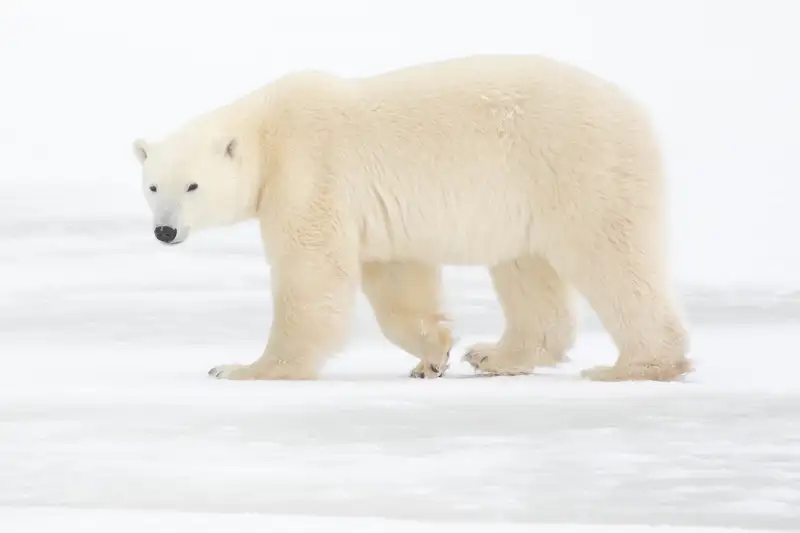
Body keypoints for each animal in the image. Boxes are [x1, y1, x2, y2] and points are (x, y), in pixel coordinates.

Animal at [131, 54, 688, 380]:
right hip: (525, 196)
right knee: (526, 269)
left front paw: (245, 369)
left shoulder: (309, 171)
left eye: (193, 185)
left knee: (612, 258)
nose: (165, 230)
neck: (268, 131)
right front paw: (433, 354)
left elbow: (311, 274)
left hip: (578, 168)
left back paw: (636, 365)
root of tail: (635, 110)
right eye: (153, 185)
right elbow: (397, 275)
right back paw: (495, 355)